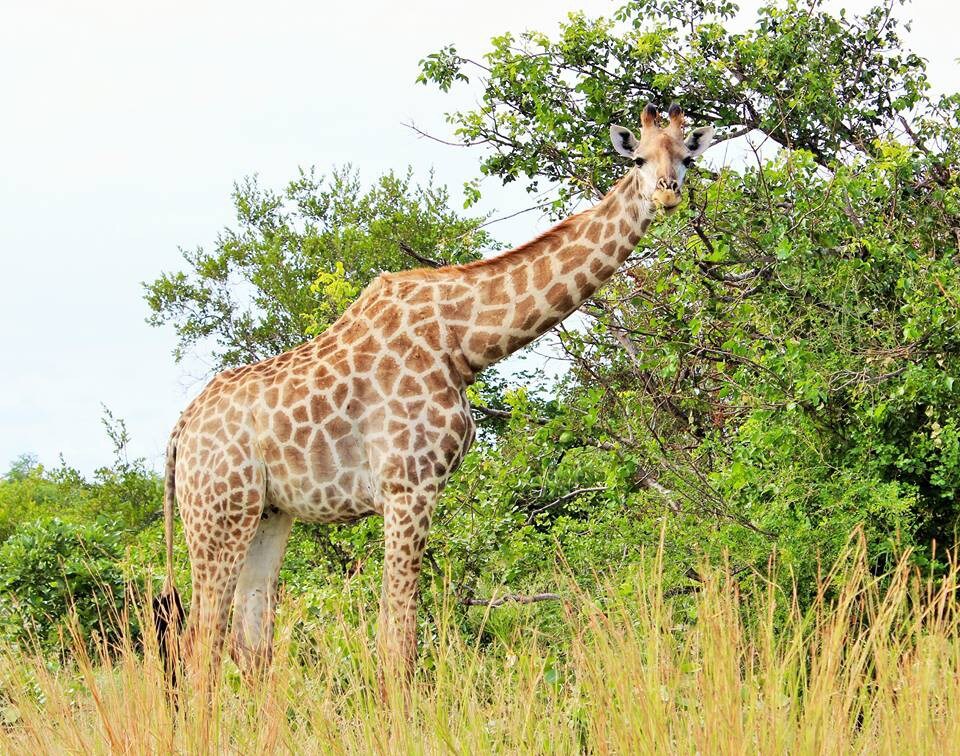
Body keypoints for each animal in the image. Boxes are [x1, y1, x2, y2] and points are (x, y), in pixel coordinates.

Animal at [156, 103, 712, 688]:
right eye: (639, 158)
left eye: (687, 157)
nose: (668, 193)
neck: (464, 341)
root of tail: (180, 432)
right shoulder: (408, 485)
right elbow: (396, 636)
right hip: (218, 516)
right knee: (199, 645)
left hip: (266, 513)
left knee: (249, 644)